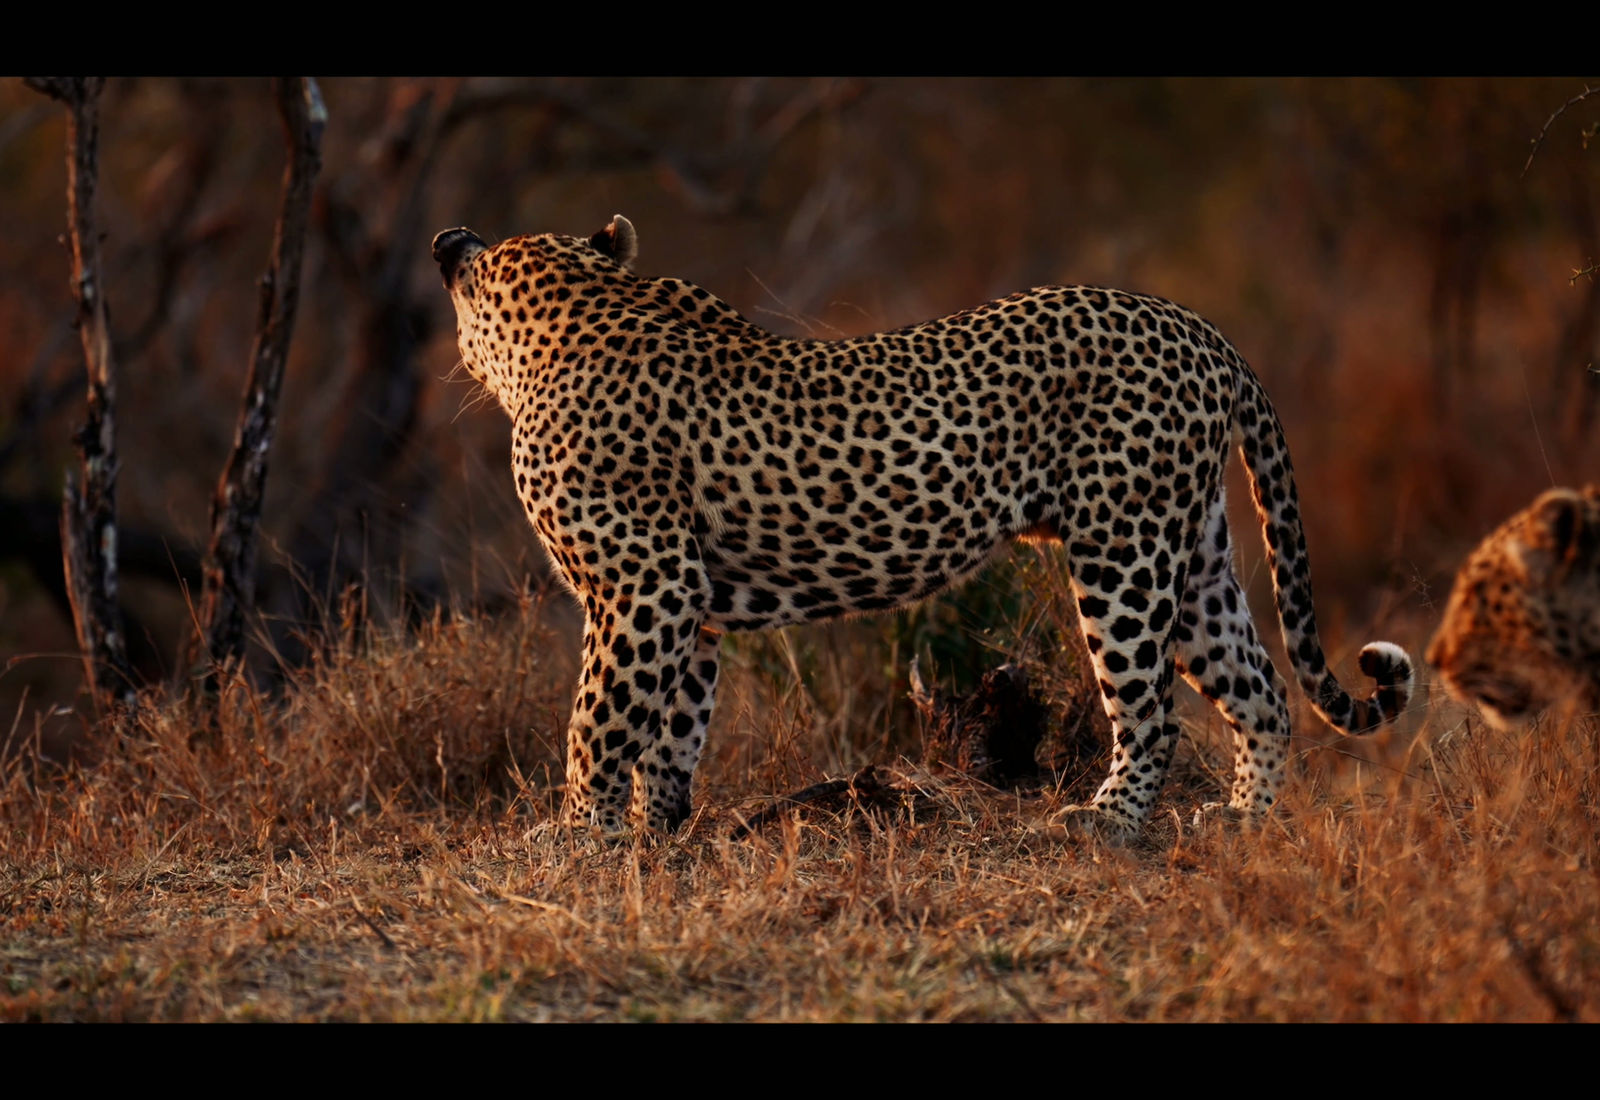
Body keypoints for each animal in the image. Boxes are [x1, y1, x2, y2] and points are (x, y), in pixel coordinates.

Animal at [431, 214, 1416, 838]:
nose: (449, 242)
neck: (569, 318)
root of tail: (1206, 332)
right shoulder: (689, 605)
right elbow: (668, 728)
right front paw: (652, 832)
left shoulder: (644, 588)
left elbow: (597, 721)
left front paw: (575, 837)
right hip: (1194, 553)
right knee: (1263, 690)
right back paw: (1245, 820)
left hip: (1123, 554)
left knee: (1152, 711)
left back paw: (1105, 824)